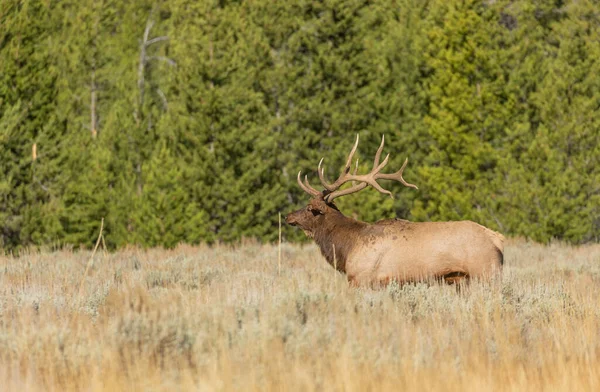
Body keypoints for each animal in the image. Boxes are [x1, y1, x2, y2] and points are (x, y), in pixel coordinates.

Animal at [288, 136, 504, 288]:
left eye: (310, 208)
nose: (289, 216)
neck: (347, 247)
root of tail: (498, 239)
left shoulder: (362, 278)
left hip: (485, 272)